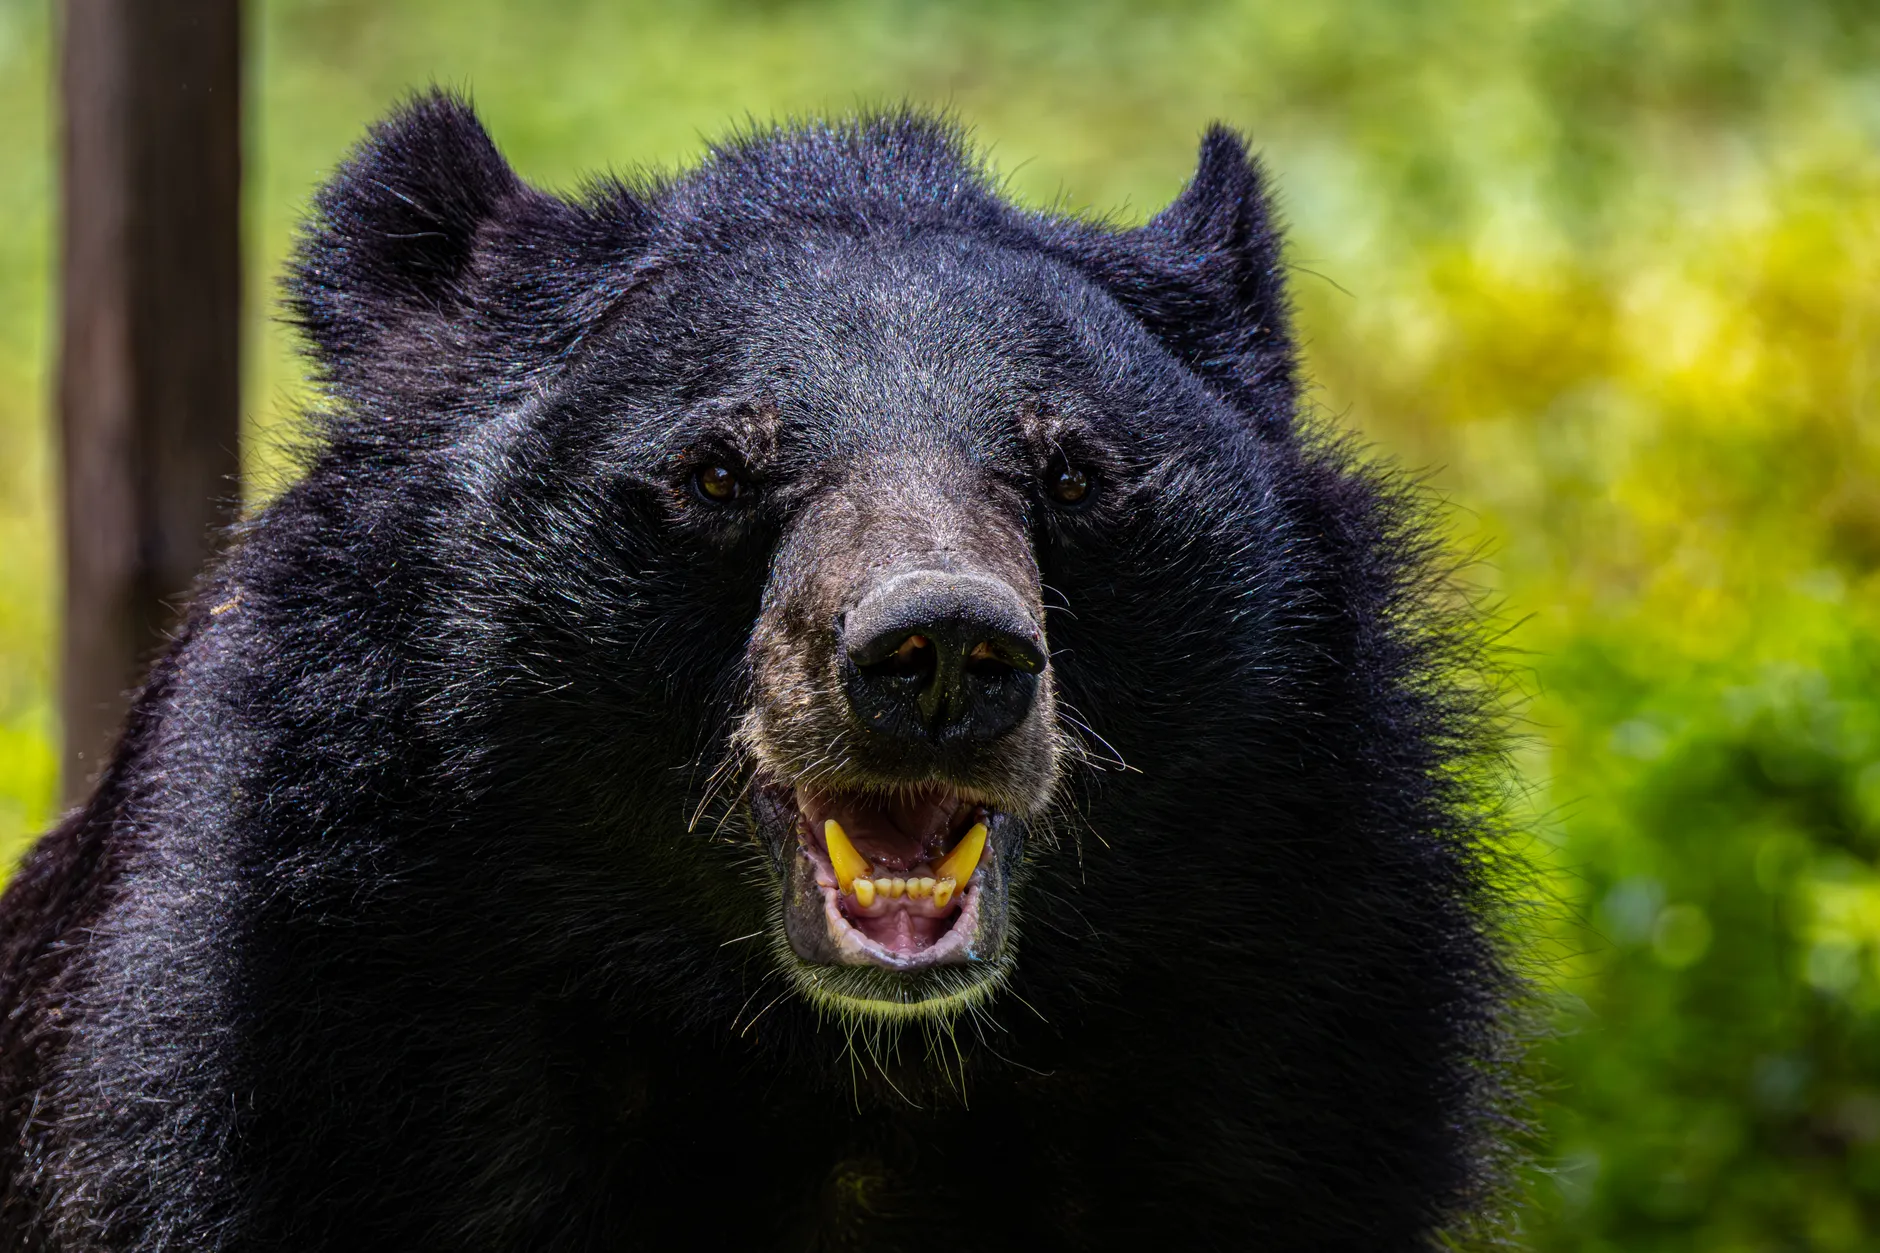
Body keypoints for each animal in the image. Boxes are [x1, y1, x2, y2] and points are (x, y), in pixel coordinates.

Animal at [0, 92, 1519, 1251]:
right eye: (717, 471)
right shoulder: (303, 1047)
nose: (942, 654)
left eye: (1072, 474)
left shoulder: (1279, 1043)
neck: (842, 1069)